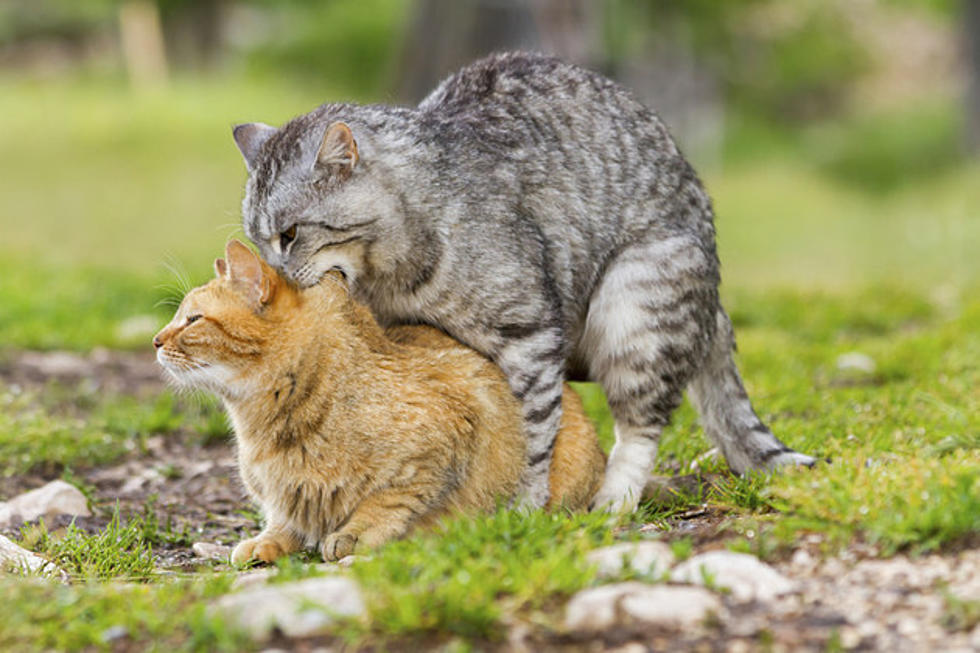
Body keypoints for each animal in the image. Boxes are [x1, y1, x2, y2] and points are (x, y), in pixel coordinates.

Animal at [155, 239, 604, 560]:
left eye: (192, 320)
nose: (156, 341)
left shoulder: (440, 444)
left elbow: (387, 502)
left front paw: (354, 533)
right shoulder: (282, 496)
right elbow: (285, 516)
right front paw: (270, 539)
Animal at [234, 51, 816, 512]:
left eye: (290, 235)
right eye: (258, 241)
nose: (274, 278)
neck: (391, 278)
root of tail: (714, 298)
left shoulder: (529, 336)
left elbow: (533, 432)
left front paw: (521, 506)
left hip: (639, 305)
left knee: (641, 425)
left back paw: (612, 502)